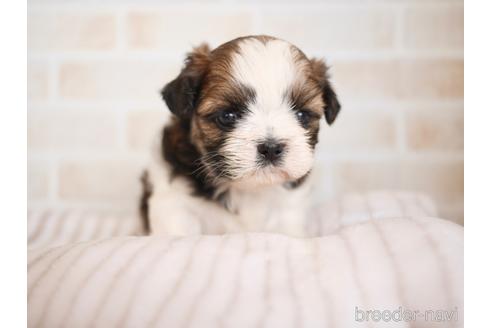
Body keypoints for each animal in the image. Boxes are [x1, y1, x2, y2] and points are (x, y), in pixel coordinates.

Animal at [140, 36, 340, 236]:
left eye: (302, 115)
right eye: (227, 116)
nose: (271, 148)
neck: (249, 189)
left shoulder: (289, 211)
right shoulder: (176, 203)